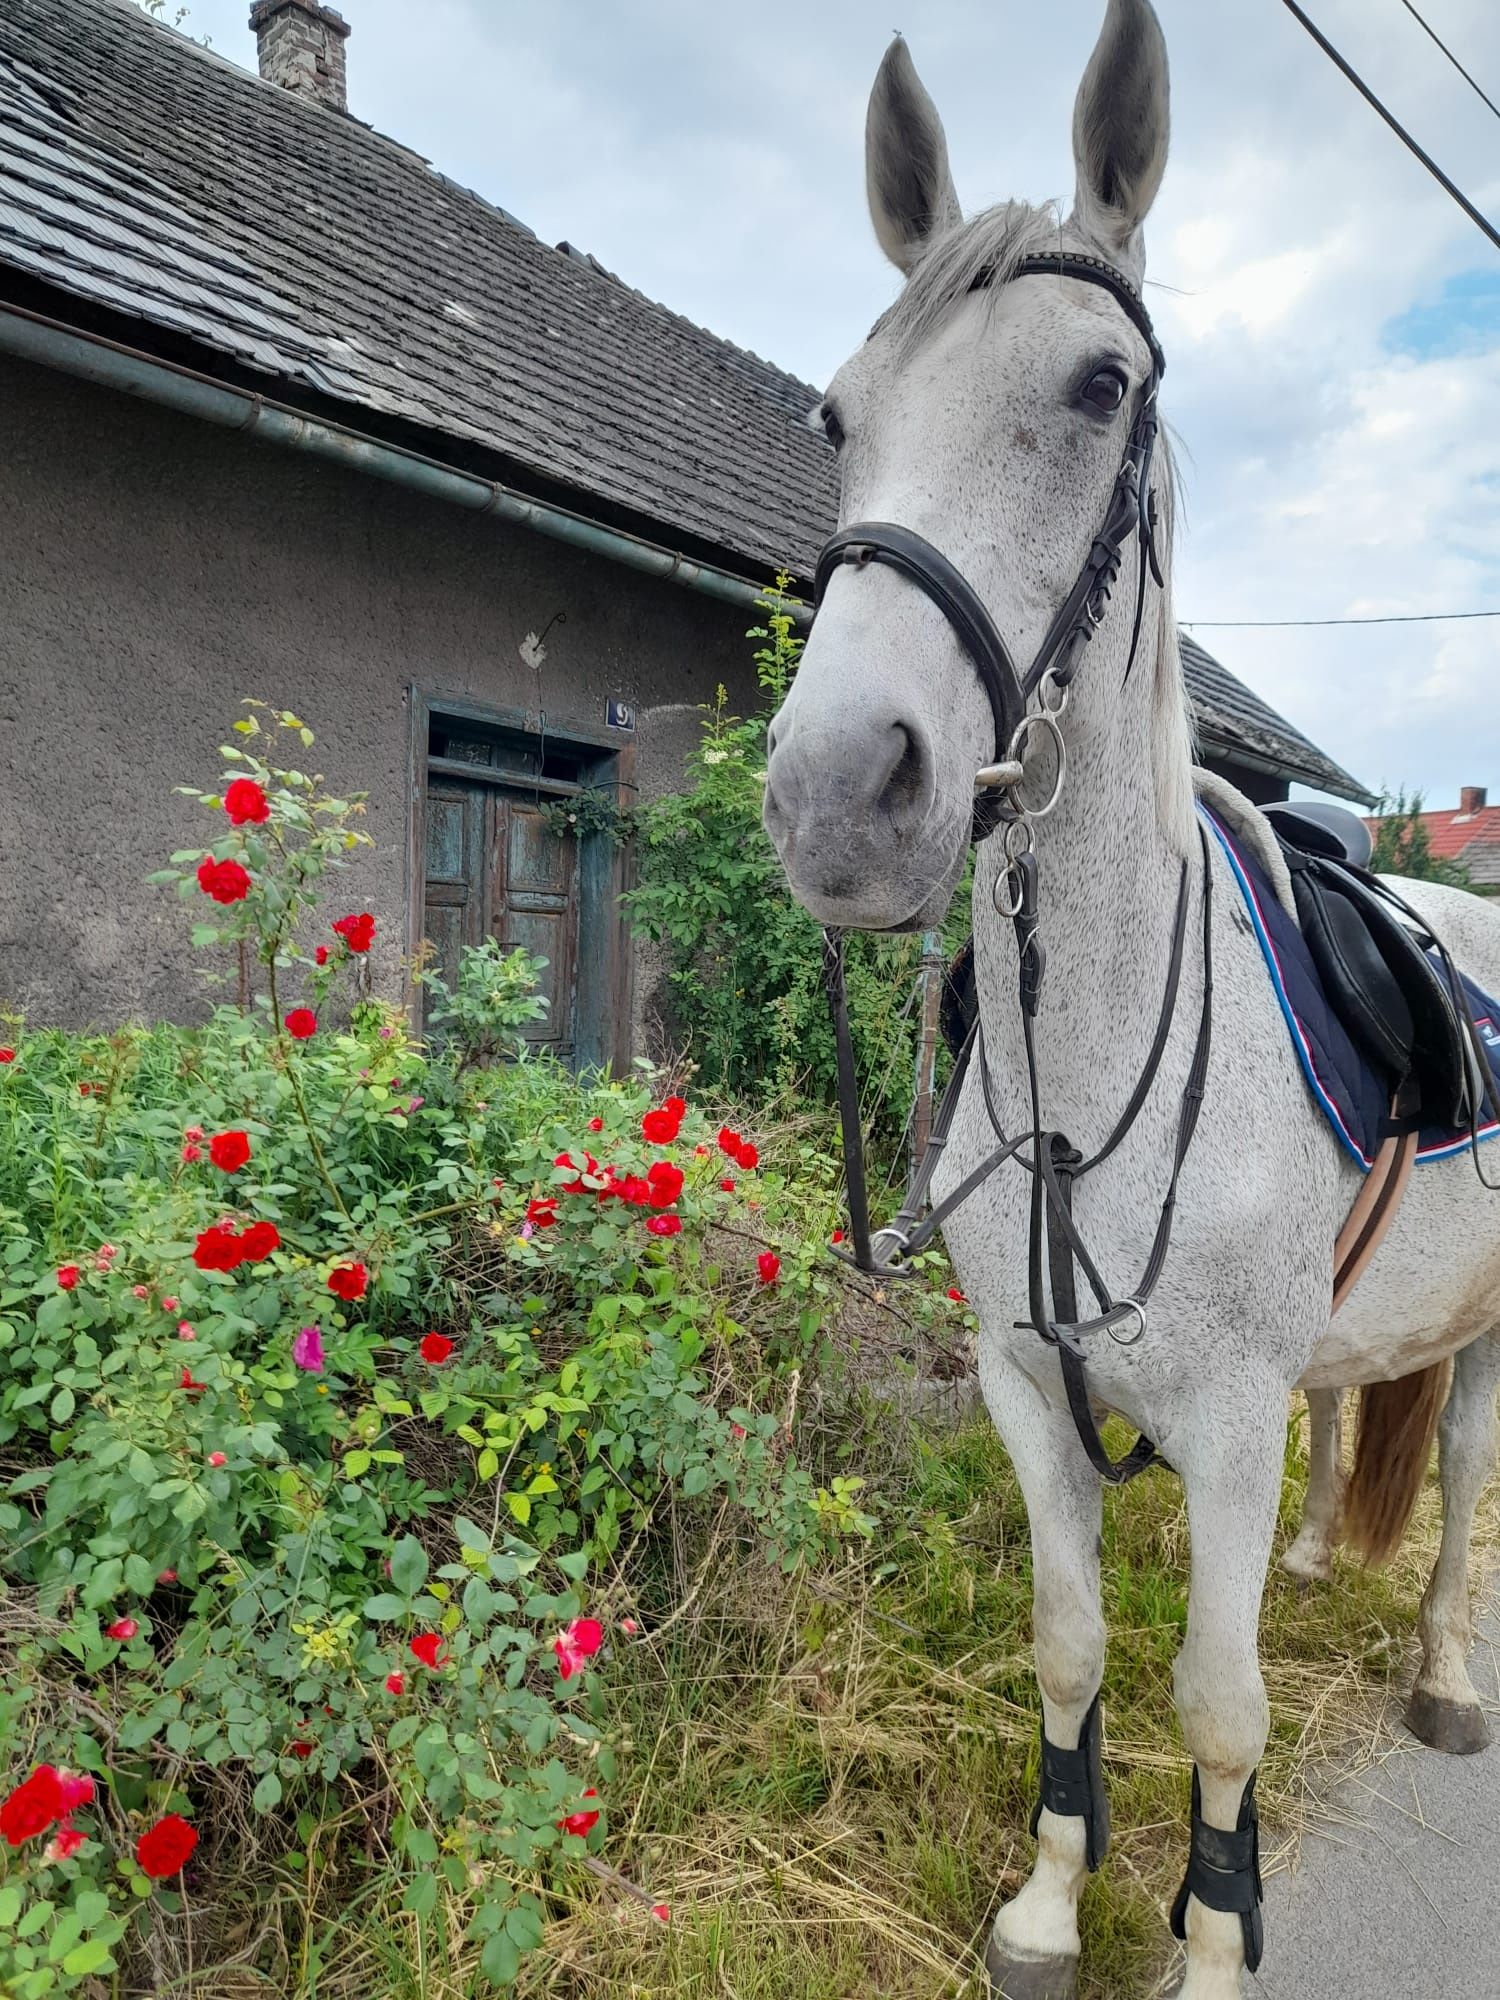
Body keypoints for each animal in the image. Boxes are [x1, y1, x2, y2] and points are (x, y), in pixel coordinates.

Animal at [768, 7, 1496, 1992]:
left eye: (1102, 385)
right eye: (839, 414)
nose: (836, 794)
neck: (1084, 1074)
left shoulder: (1225, 1421)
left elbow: (1222, 1708)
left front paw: (1217, 1936)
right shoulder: (1029, 1386)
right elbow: (1074, 1645)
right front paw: (1046, 1898)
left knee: (1464, 1476)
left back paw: (1444, 1672)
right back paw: (1325, 1564)